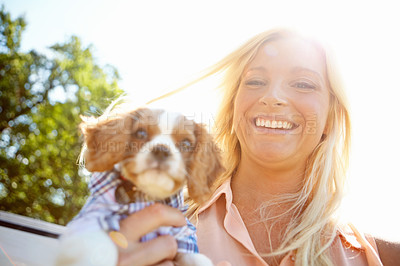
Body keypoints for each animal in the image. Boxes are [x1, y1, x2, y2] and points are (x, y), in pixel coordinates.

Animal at [55, 106, 223, 266]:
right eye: (140, 133)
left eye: (186, 144)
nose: (161, 150)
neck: (147, 196)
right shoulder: (88, 218)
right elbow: (98, 245)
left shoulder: (182, 235)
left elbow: (195, 257)